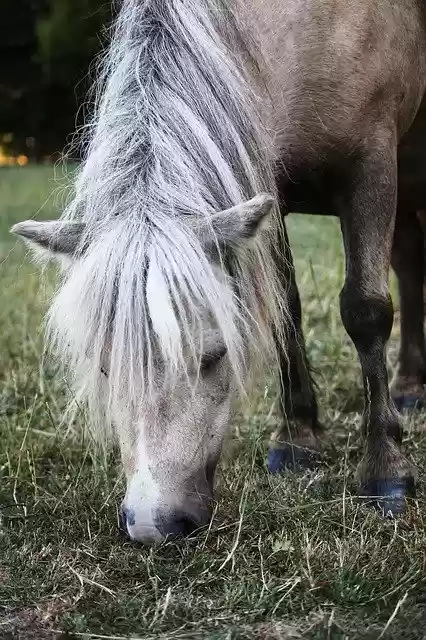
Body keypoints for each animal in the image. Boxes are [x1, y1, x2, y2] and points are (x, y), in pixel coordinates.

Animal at [12, 0, 426, 540]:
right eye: (105, 365)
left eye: (213, 356)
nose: (153, 524)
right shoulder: (268, 186)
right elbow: (285, 310)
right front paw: (298, 439)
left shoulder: (372, 166)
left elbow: (366, 311)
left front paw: (386, 470)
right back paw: (411, 384)